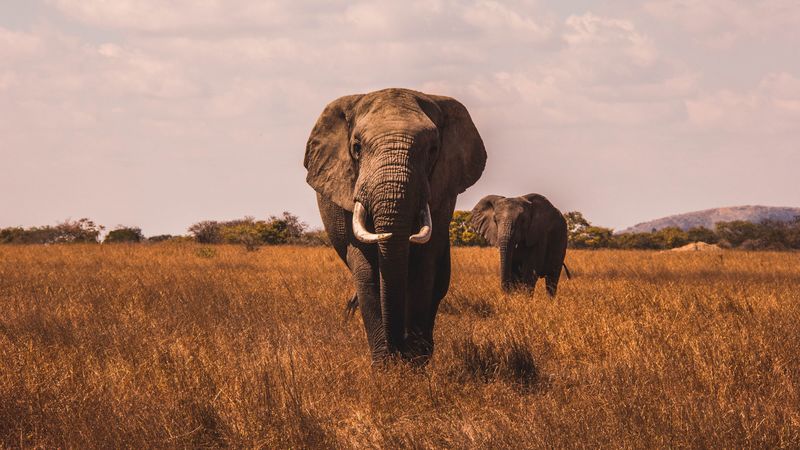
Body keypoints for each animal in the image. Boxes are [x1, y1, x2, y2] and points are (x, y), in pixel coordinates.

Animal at [304, 88, 487, 364]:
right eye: (356, 148)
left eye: (433, 149)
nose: (397, 349)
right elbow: (367, 270)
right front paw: (385, 366)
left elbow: (424, 268)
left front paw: (413, 364)